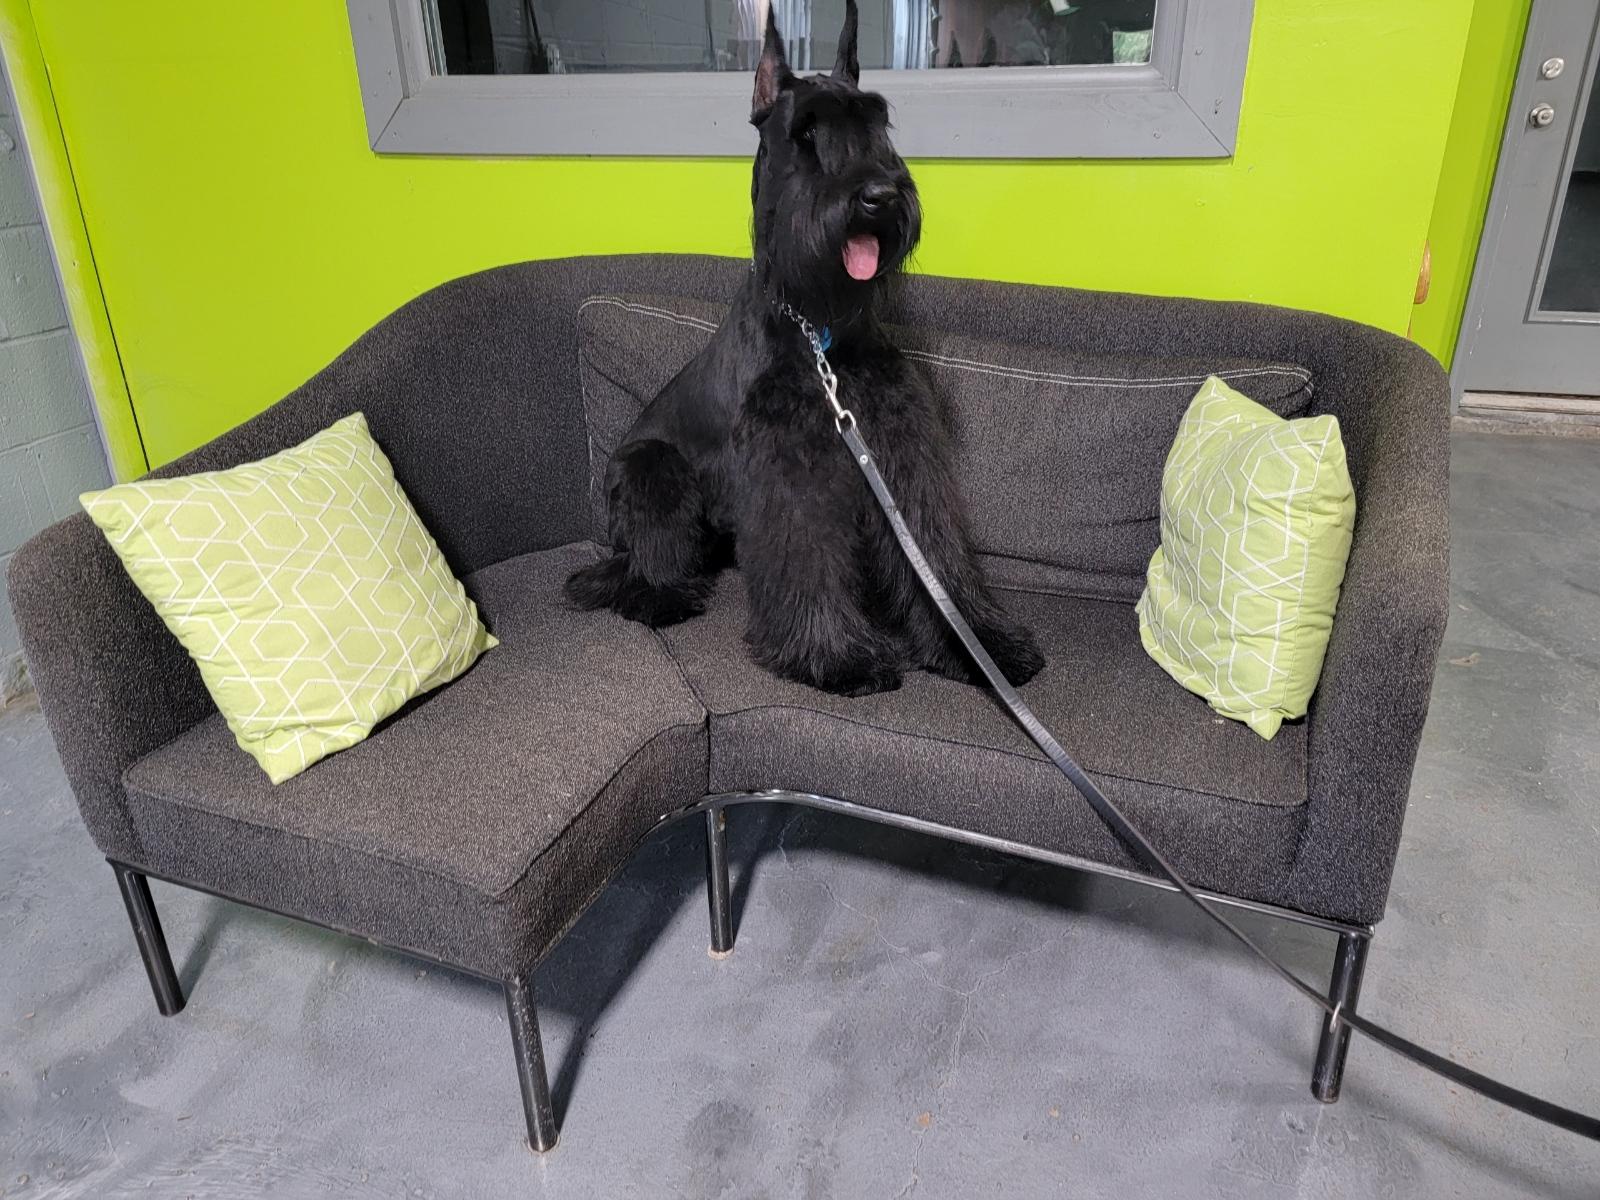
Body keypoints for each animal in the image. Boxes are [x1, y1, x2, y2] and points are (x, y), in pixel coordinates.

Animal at [567, 0, 1044, 698]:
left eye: (878, 122)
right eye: (806, 133)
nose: (878, 197)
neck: (821, 330)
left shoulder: (895, 450)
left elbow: (933, 549)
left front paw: (976, 645)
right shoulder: (790, 461)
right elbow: (807, 556)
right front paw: (835, 656)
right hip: (650, 466)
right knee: (645, 566)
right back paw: (661, 594)